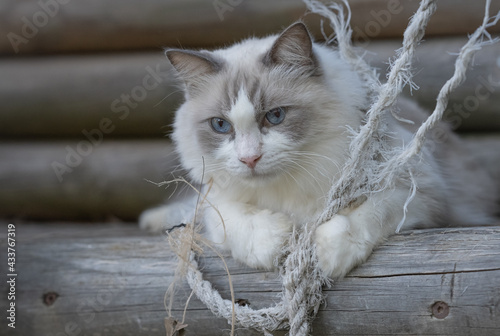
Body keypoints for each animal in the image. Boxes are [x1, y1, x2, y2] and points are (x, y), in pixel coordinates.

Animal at [140, 22, 496, 276]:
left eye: (276, 116)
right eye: (220, 125)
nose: (249, 158)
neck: (287, 192)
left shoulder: (418, 191)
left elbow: (369, 213)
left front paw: (328, 255)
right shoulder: (216, 197)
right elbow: (233, 221)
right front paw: (276, 242)